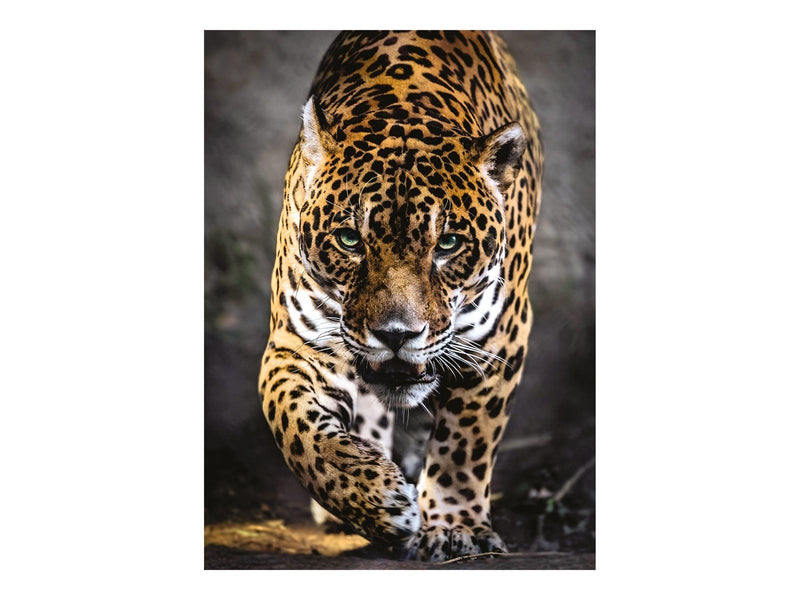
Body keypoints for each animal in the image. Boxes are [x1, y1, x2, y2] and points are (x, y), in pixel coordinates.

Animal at [259, 30, 543, 562]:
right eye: (350, 240)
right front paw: (375, 500)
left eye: (448, 244)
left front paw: (454, 527)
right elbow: (295, 427)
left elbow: (466, 441)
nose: (396, 335)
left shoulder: (499, 339)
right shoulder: (297, 342)